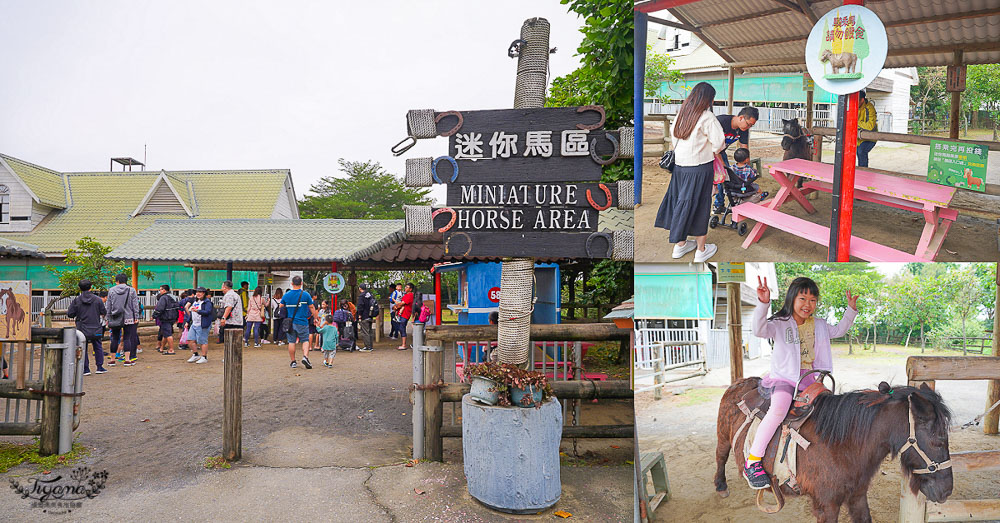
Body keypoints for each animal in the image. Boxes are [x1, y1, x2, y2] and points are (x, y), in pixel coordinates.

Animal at [712, 380, 952, 523]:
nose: (946, 492)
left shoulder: (857, 497)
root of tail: (737, 383)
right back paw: (722, 485)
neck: (841, 447)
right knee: (720, 457)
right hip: (723, 438)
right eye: (939, 440)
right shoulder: (827, 506)